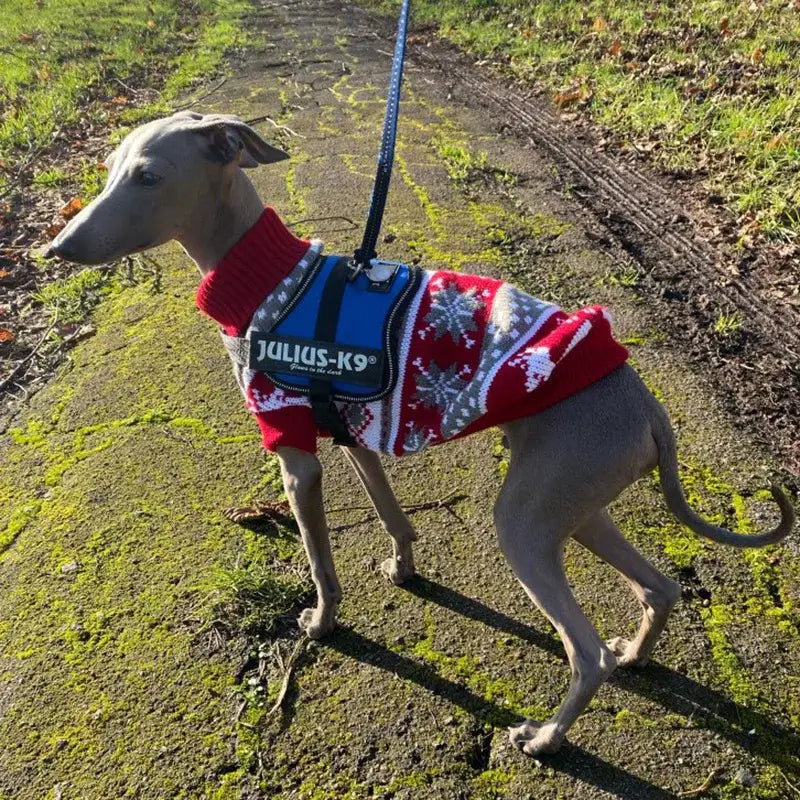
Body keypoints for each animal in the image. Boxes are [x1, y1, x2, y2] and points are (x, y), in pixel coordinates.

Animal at [48, 112, 792, 756]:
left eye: (148, 176)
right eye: (108, 169)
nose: (57, 248)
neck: (270, 280)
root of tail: (647, 406)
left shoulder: (296, 456)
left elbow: (320, 561)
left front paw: (322, 623)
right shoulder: (352, 433)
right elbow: (391, 513)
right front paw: (403, 567)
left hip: (527, 522)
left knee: (587, 654)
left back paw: (547, 737)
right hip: (574, 508)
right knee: (659, 590)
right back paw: (636, 655)